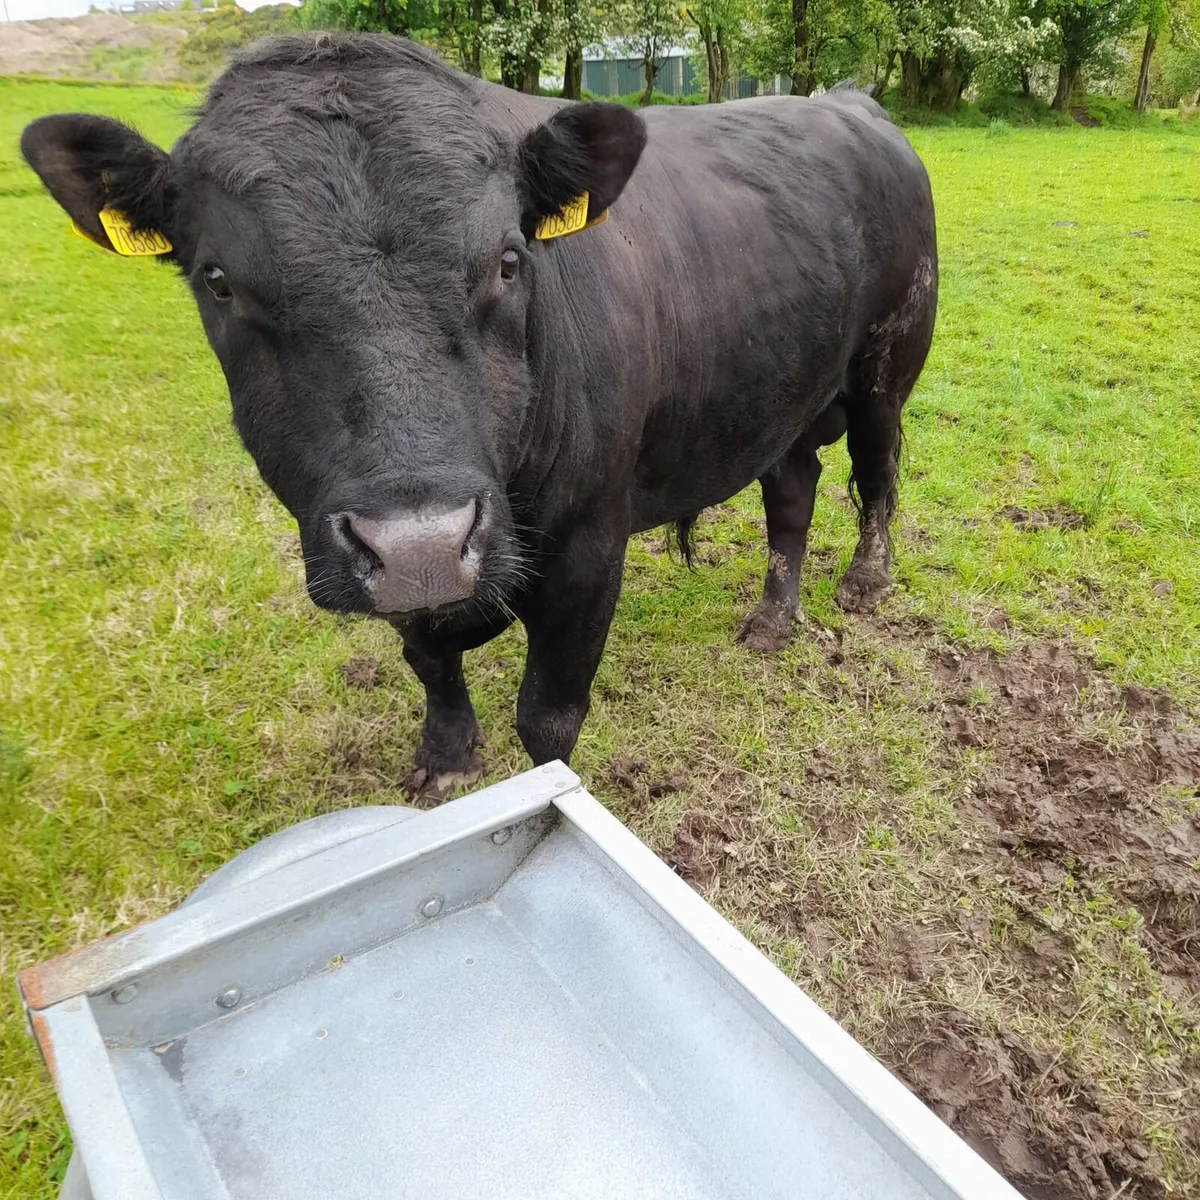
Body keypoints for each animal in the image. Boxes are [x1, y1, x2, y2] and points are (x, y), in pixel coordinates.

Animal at [22, 34, 937, 793]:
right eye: (217, 280)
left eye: (508, 258)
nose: (421, 544)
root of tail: (850, 104)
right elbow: (428, 663)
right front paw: (446, 757)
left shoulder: (589, 549)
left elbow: (548, 715)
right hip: (783, 391)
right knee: (793, 491)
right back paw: (773, 619)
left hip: (886, 366)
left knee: (876, 474)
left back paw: (864, 582)